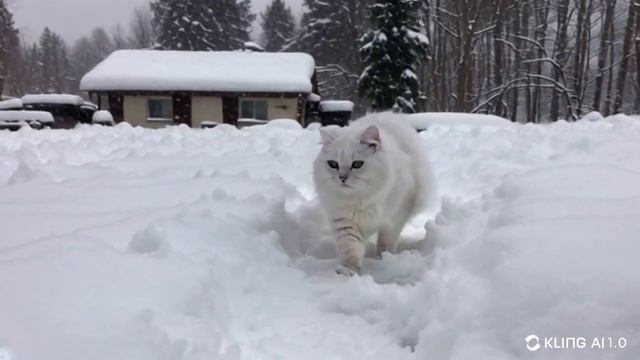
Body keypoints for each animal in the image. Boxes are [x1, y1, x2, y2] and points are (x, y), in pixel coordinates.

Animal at [312, 112, 436, 276]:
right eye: (333, 164)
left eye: (357, 164)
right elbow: (351, 250)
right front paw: (348, 270)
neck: (360, 199)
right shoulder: (346, 224)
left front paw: (384, 259)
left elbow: (386, 242)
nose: (342, 178)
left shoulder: (395, 218)